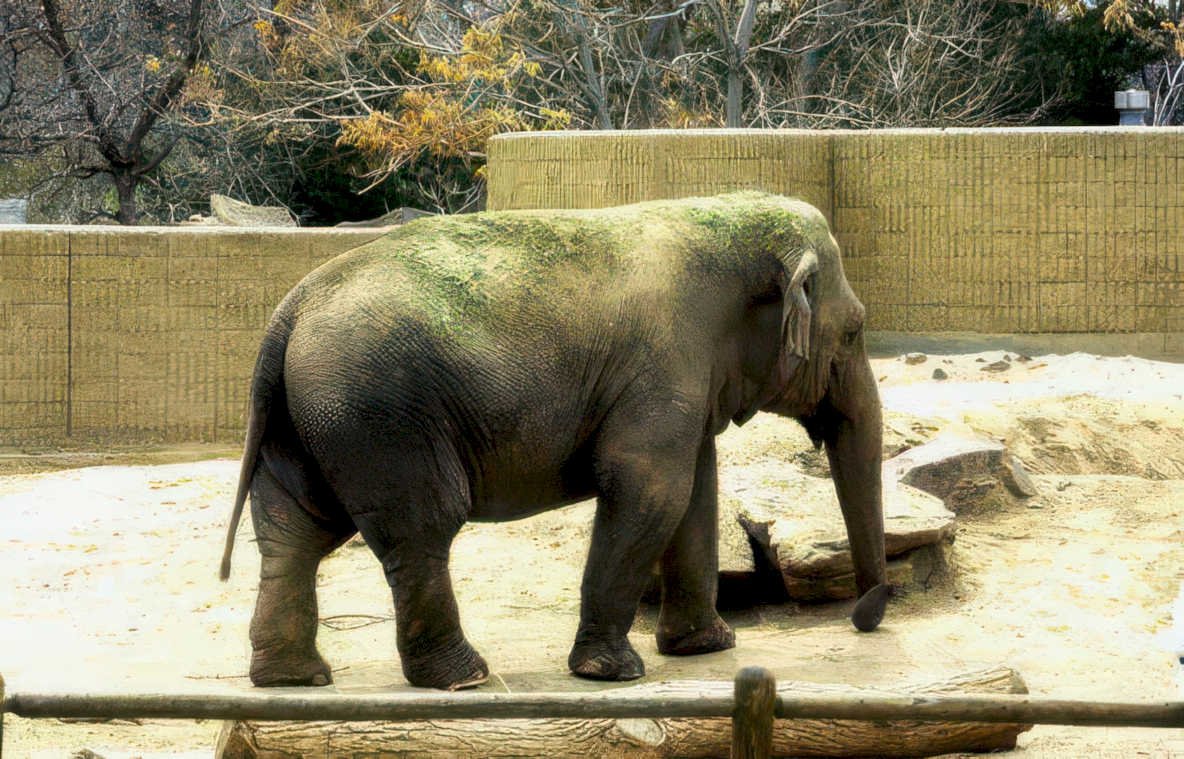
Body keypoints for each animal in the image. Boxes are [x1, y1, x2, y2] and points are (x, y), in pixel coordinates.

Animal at [218, 191, 890, 691]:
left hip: (309, 421)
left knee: (295, 533)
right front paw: (612, 673)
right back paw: (463, 678)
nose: (864, 619)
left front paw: (704, 648)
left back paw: (294, 678)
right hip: (377, 418)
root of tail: (288, 314)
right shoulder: (663, 362)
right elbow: (651, 491)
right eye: (854, 333)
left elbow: (694, 494)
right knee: (422, 529)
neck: (719, 216)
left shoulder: (687, 377)